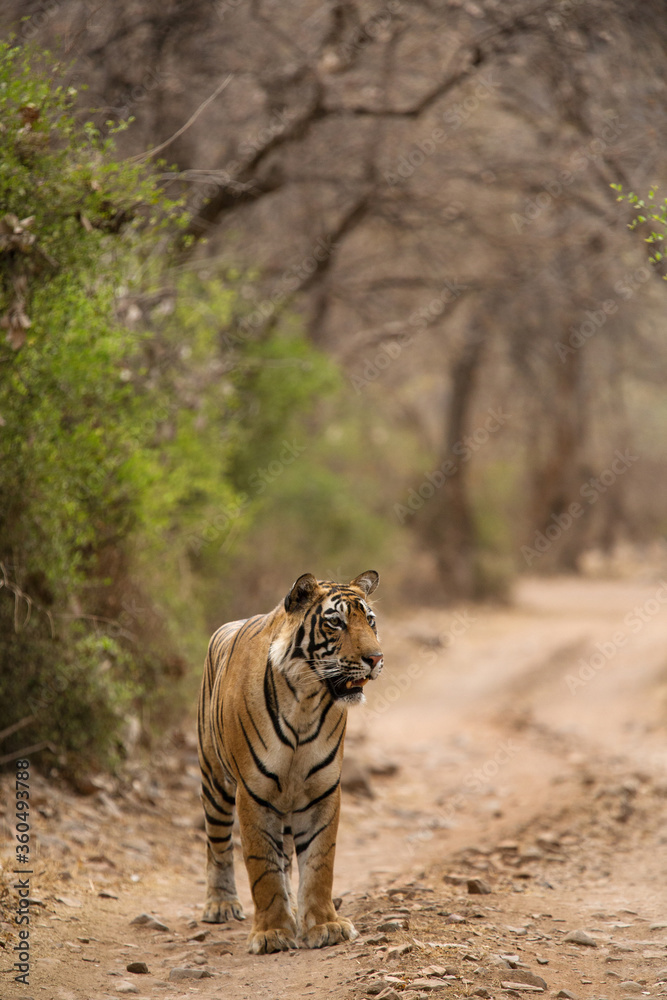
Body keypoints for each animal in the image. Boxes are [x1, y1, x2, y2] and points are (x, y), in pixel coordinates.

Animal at [197, 570, 383, 954]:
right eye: (336, 622)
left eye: (370, 621)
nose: (376, 658)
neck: (306, 701)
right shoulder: (253, 793)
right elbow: (261, 867)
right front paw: (271, 933)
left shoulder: (322, 790)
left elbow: (319, 863)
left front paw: (325, 925)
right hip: (215, 782)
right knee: (218, 844)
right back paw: (221, 904)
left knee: (283, 857)